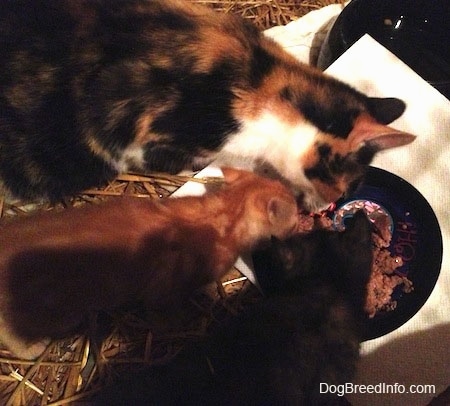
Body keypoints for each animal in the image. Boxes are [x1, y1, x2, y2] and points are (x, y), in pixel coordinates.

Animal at [0, 167, 302, 360]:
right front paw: (178, 322)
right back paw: (32, 348)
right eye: (296, 216)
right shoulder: (162, 288)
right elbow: (162, 315)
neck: (223, 214)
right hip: (51, 309)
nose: (302, 213)